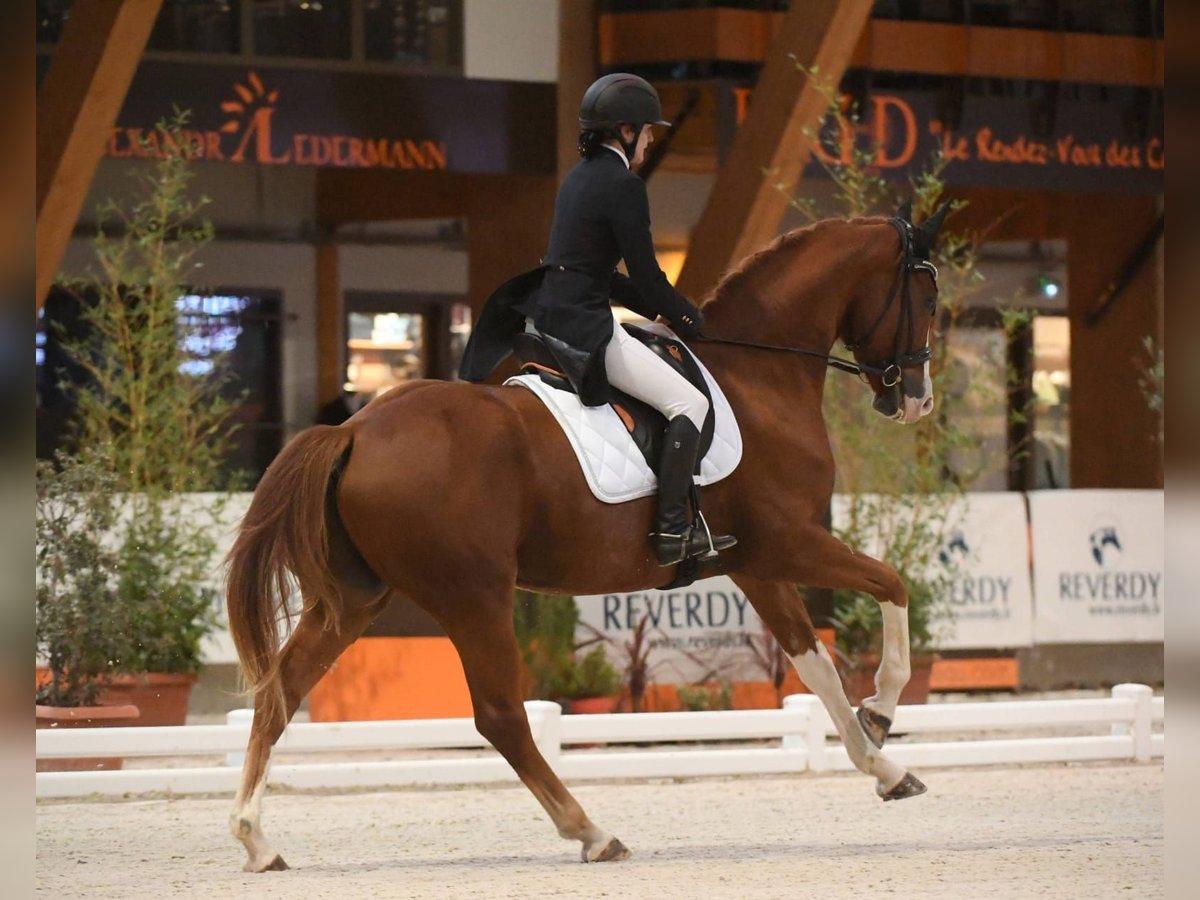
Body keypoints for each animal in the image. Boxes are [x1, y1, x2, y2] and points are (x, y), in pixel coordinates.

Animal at [226, 207, 945, 868]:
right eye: (929, 298)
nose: (916, 400)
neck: (757, 377)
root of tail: (354, 431)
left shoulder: (754, 563)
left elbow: (815, 665)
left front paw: (882, 766)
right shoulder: (787, 542)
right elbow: (891, 585)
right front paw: (883, 710)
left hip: (358, 597)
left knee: (284, 688)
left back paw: (257, 839)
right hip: (473, 596)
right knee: (500, 715)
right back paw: (592, 832)